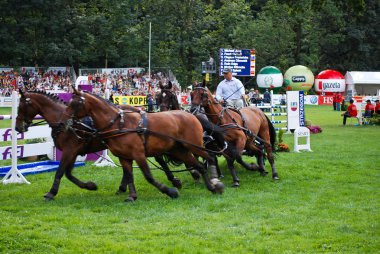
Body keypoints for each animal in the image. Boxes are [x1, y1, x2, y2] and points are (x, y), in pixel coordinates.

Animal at [15, 90, 184, 201]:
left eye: (21, 106)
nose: (17, 128)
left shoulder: (70, 150)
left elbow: (60, 172)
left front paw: (51, 193)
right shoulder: (74, 152)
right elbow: (68, 173)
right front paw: (90, 185)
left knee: (160, 159)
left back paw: (173, 180)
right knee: (128, 169)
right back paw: (123, 188)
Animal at [66, 89, 224, 198]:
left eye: (75, 103)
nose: (64, 121)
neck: (120, 123)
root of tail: (192, 115)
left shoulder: (139, 154)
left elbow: (148, 175)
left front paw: (171, 190)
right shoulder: (126, 156)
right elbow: (130, 174)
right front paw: (130, 194)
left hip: (194, 146)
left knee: (210, 157)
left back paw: (216, 181)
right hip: (180, 150)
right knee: (200, 164)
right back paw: (211, 185)